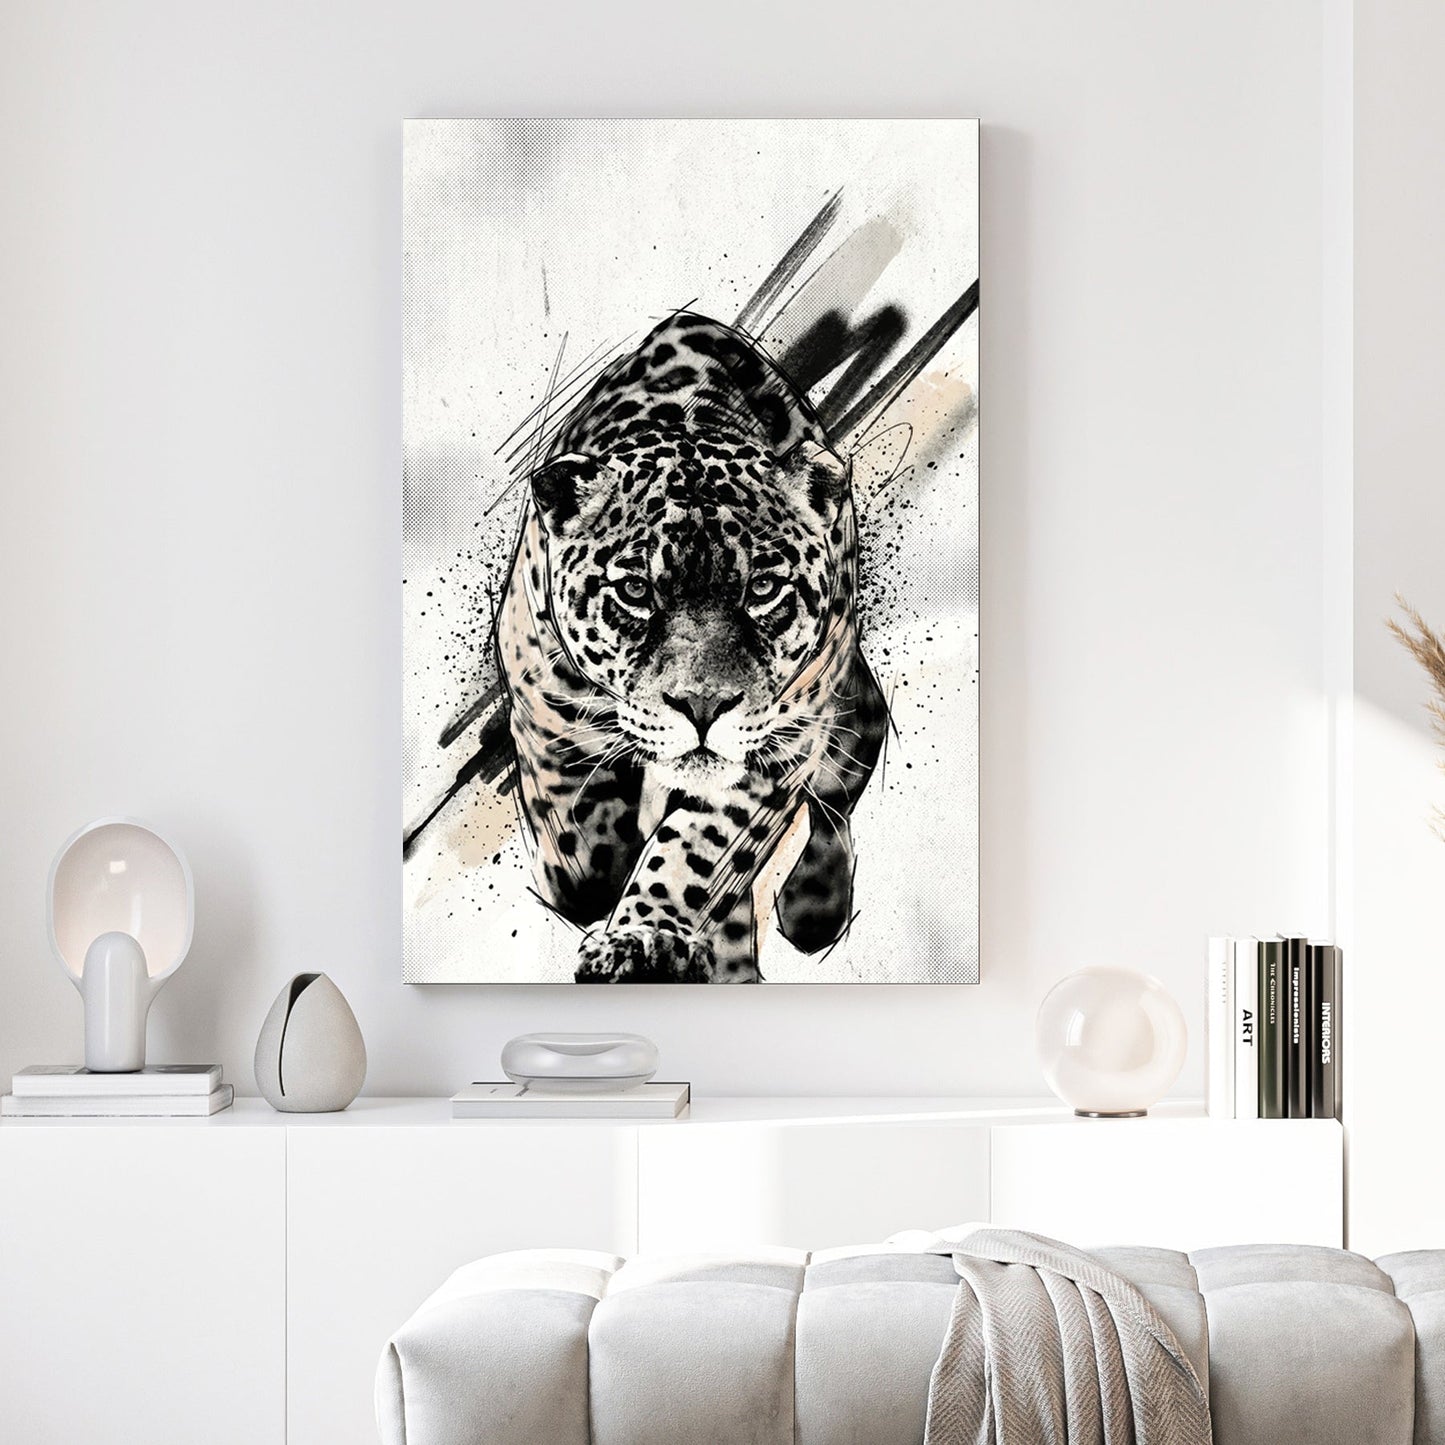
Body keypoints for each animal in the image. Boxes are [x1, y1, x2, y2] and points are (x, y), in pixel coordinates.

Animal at [495, 310, 888, 982]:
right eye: (634, 590)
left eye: (763, 589)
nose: (703, 708)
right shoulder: (541, 708)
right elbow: (581, 858)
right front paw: (597, 865)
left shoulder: (774, 752)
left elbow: (693, 850)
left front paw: (643, 937)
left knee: (850, 760)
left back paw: (813, 905)